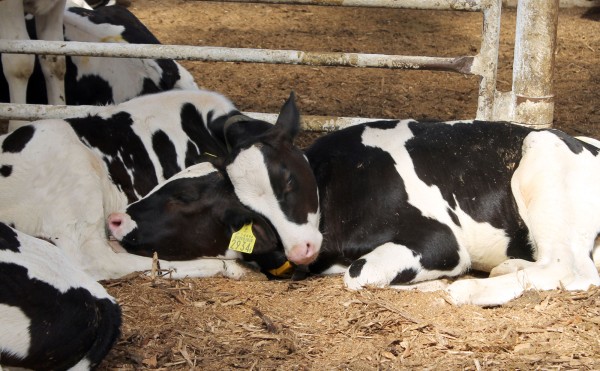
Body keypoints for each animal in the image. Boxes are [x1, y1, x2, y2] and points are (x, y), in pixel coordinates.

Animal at [110, 120, 600, 306]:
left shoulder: (440, 241)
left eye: (184, 196)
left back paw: (469, 290)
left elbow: (358, 274)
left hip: (542, 154)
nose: (117, 218)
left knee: (572, 271)